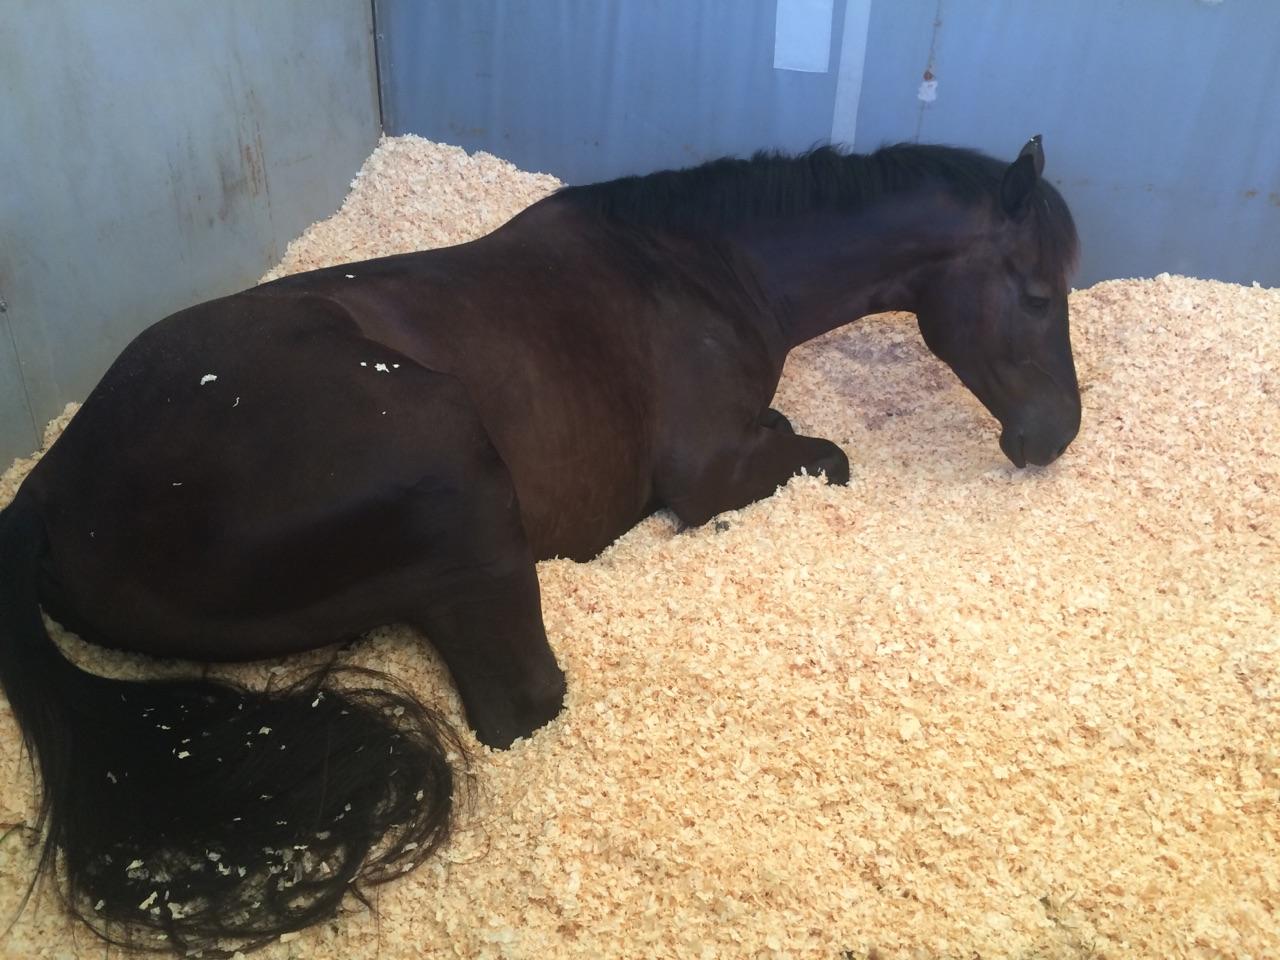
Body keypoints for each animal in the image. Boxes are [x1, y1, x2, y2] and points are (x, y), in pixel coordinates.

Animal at [0, 135, 1079, 953]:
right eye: (1035, 293)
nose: (1054, 435)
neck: (700, 270)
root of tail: (53, 486)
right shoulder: (713, 467)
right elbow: (819, 457)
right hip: (455, 471)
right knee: (522, 704)